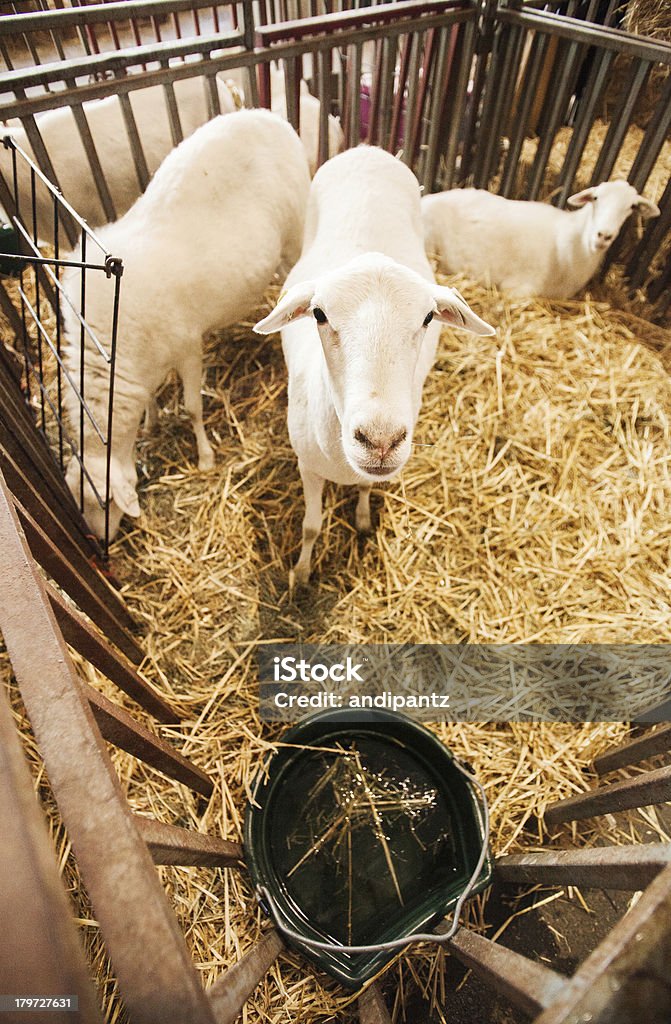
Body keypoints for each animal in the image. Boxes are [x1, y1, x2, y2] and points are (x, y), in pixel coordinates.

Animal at [63, 110, 309, 544]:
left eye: (106, 503)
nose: (102, 541)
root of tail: (267, 115)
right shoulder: (143, 366)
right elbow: (150, 398)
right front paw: (151, 423)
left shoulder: (188, 347)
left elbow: (193, 407)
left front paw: (206, 457)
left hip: (296, 229)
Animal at [255, 144, 495, 585]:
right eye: (319, 314)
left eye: (428, 317)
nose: (381, 441)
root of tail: (367, 149)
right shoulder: (306, 465)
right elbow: (310, 526)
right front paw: (301, 573)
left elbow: (366, 490)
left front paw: (364, 518)